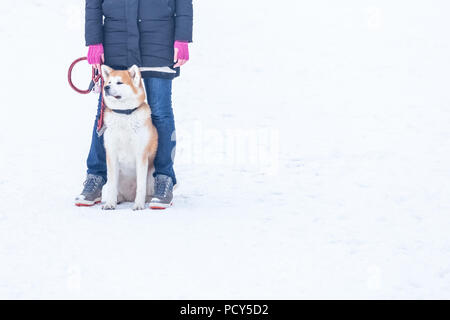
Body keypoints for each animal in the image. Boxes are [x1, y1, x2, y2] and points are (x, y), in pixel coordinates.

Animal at [100, 65, 158, 210]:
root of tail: (129, 197)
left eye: (119, 82)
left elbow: (141, 186)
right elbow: (112, 186)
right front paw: (110, 204)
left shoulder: (141, 155)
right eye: (109, 82)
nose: (105, 87)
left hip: (152, 173)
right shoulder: (111, 154)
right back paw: (117, 200)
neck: (124, 114)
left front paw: (139, 205)